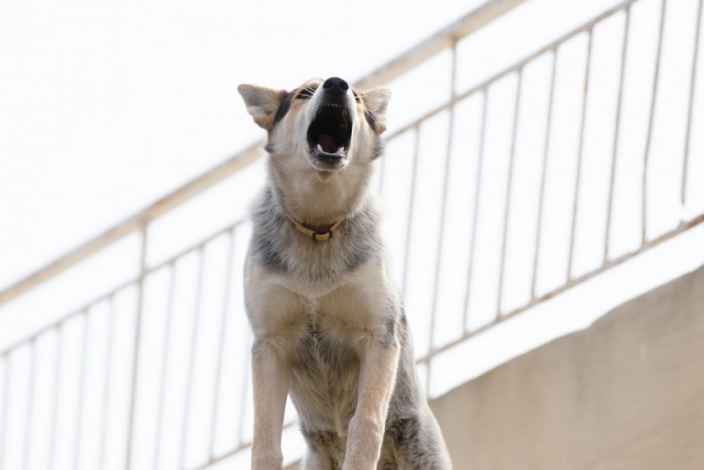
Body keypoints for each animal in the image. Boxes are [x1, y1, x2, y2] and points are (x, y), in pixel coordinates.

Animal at [239, 77, 454, 470]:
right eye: (304, 94)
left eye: (356, 96)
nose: (337, 84)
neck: (320, 226)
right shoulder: (269, 345)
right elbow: (264, 441)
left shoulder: (379, 336)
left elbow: (366, 423)